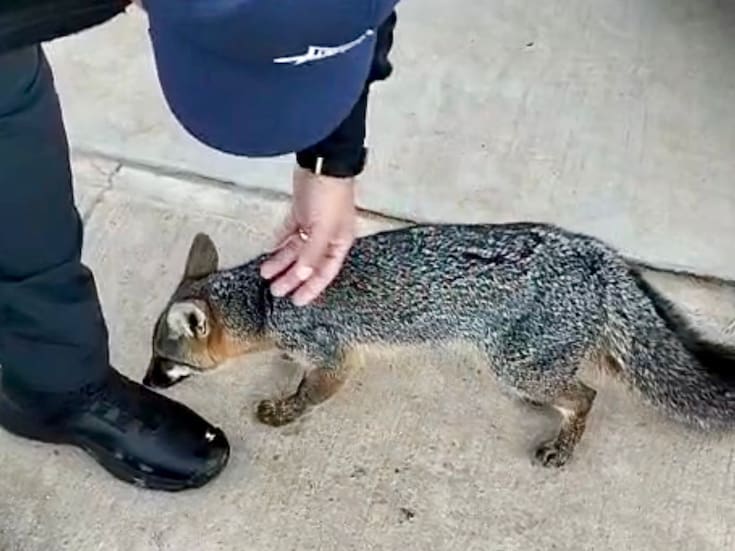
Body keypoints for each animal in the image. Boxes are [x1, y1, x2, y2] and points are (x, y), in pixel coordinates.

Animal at [142, 222, 735, 467]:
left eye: (164, 360)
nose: (145, 382)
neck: (267, 301)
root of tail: (599, 257)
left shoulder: (336, 356)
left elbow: (311, 393)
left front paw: (285, 410)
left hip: (515, 364)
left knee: (586, 396)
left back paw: (563, 444)